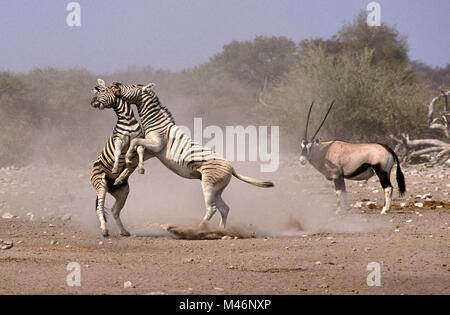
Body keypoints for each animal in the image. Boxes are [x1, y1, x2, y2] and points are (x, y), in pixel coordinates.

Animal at [89, 79, 153, 237]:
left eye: (103, 91)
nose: (92, 103)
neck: (127, 120)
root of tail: (110, 186)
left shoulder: (138, 139)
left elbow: (140, 151)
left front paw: (140, 167)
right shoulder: (119, 140)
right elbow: (117, 153)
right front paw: (115, 167)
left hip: (123, 191)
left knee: (114, 211)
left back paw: (123, 231)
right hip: (101, 184)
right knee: (100, 208)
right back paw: (104, 230)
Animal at [97, 81, 274, 230]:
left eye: (133, 85)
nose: (114, 84)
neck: (155, 122)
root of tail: (231, 167)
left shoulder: (156, 144)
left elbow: (135, 143)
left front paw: (128, 160)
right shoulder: (153, 151)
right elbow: (137, 152)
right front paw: (122, 176)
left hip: (209, 185)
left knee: (212, 208)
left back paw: (199, 229)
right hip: (217, 188)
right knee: (224, 208)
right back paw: (221, 231)